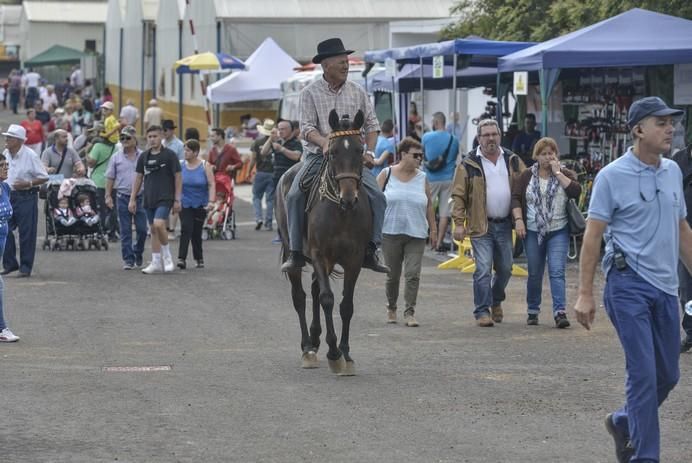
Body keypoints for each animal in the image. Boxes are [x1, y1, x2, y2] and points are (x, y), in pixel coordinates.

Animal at [276, 109, 374, 376]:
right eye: (333, 152)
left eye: (360, 150)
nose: (349, 198)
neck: (341, 213)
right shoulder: (320, 255)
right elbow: (327, 299)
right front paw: (334, 353)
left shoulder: (353, 260)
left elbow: (346, 305)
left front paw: (346, 354)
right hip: (296, 253)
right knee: (300, 297)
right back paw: (308, 348)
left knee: (314, 290)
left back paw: (315, 338)